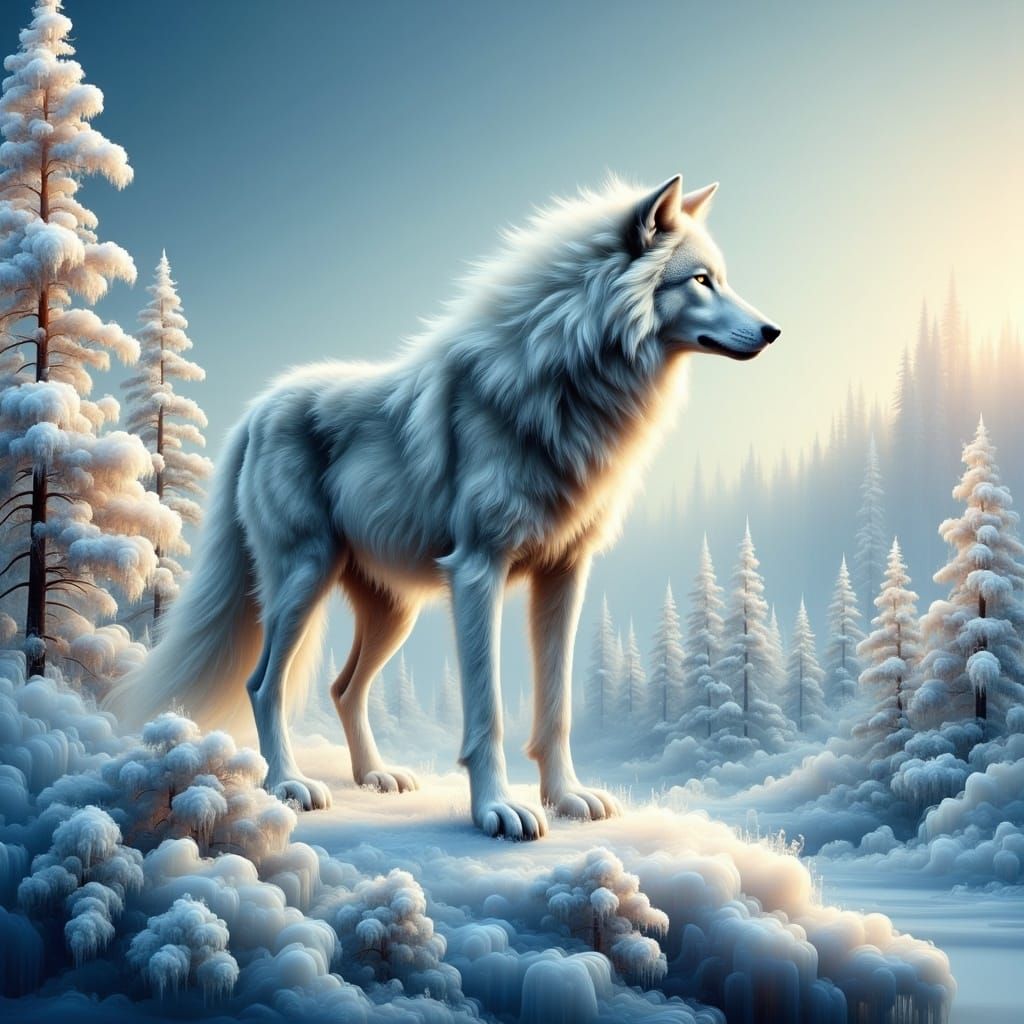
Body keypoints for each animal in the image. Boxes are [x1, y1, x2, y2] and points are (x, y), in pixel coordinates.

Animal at [107, 174, 780, 840]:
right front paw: (498, 810)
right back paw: (289, 785)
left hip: (393, 610)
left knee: (343, 688)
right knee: (263, 683)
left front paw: (567, 797)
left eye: (720, 278)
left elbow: (556, 706)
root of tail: (259, 408)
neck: (565, 379)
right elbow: (488, 713)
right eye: (701, 280)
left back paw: (375, 777)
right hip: (304, 579)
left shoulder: (565, 575)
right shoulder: (477, 571)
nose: (774, 331)